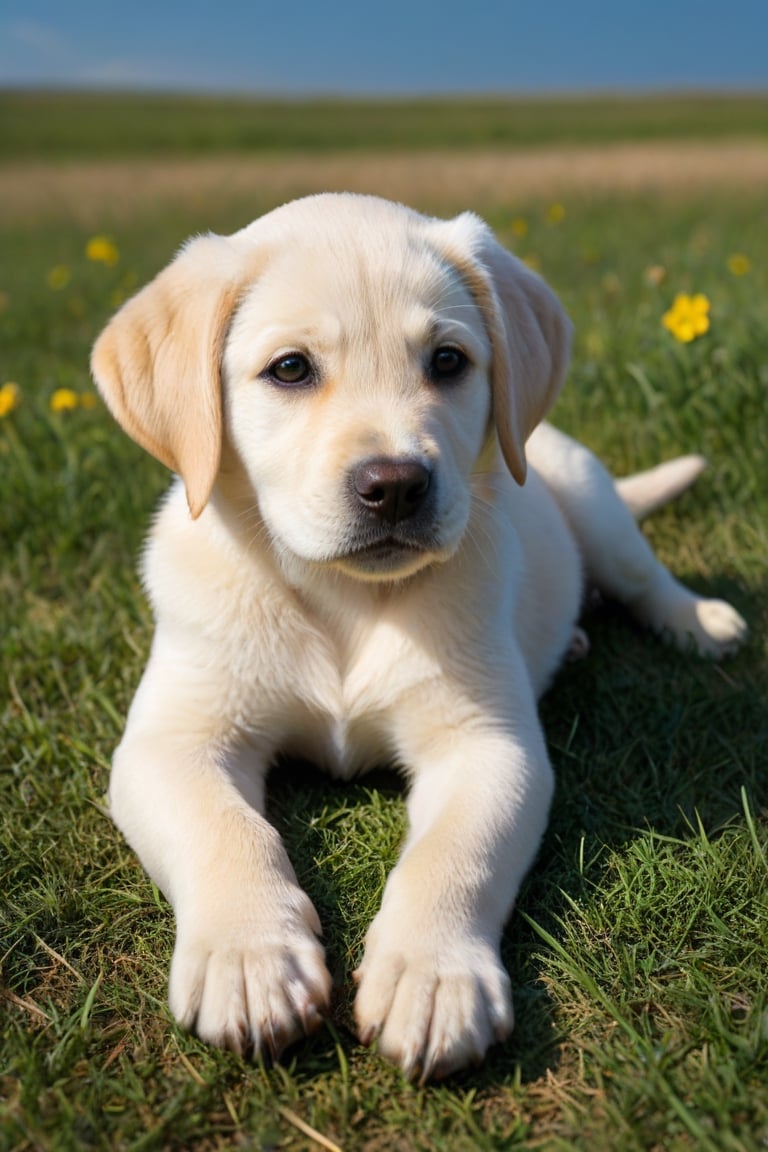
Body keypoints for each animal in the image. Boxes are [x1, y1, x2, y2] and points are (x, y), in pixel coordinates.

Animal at [93, 193, 746, 1082]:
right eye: (290, 369)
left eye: (448, 361)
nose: (396, 485)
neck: (343, 599)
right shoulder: (172, 741)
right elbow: (225, 830)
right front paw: (251, 956)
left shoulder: (487, 745)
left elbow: (451, 857)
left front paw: (432, 978)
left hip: (592, 497)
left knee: (643, 577)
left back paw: (698, 620)